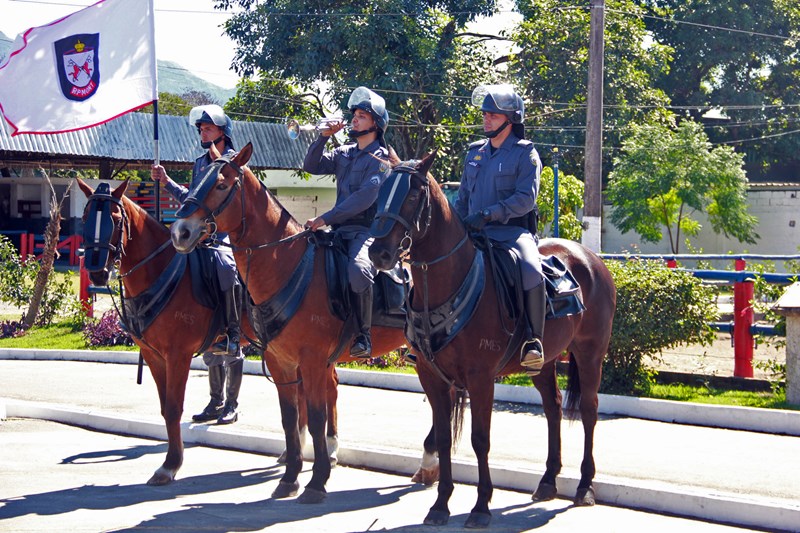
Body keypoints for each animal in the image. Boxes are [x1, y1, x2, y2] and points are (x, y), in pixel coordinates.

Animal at [77, 179, 332, 482]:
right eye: (85, 217)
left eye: (115, 219)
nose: (97, 272)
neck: (162, 271)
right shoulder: (153, 356)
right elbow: (165, 407)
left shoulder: (178, 354)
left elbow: (174, 408)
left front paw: (171, 464)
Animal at [168, 142, 406, 502]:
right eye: (196, 180)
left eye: (221, 184)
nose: (180, 232)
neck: (289, 265)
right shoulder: (280, 361)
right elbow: (289, 417)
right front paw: (290, 476)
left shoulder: (313, 360)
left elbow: (316, 416)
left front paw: (317, 481)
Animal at [366, 154, 616, 528]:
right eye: (380, 192)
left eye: (412, 196)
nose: (379, 253)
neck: (450, 283)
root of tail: (590, 257)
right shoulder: (431, 377)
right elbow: (443, 438)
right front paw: (440, 504)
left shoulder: (481, 378)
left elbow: (480, 439)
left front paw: (481, 506)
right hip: (544, 361)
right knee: (553, 407)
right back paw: (547, 480)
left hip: (590, 355)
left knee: (588, 410)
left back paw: (585, 486)